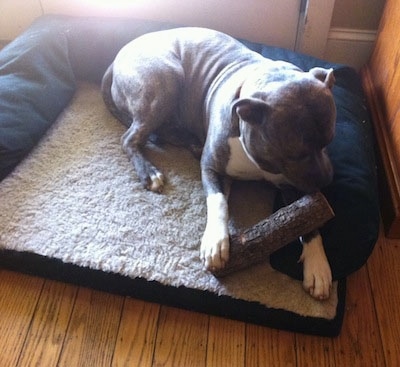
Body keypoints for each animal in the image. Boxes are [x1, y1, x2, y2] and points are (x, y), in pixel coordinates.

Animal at [101, 27, 336, 300]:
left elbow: (310, 219)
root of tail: (119, 55)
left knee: (159, 132)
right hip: (165, 82)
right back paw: (149, 172)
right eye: (296, 153)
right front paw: (215, 241)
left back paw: (191, 142)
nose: (326, 181)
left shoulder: (294, 185)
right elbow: (218, 201)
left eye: (329, 140)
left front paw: (318, 265)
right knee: (131, 138)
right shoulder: (212, 168)